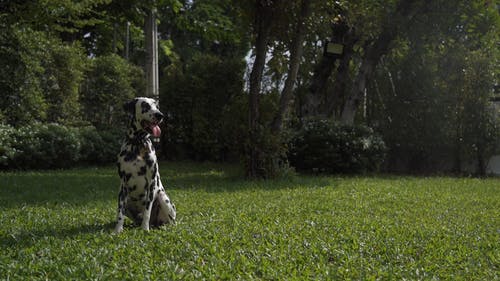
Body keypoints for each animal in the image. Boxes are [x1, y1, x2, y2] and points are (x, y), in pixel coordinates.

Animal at [114, 96, 177, 232]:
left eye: (156, 106)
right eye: (145, 106)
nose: (160, 115)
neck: (137, 144)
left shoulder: (151, 184)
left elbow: (147, 211)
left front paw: (145, 228)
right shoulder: (123, 186)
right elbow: (120, 212)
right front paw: (117, 230)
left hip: (162, 198)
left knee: (171, 221)